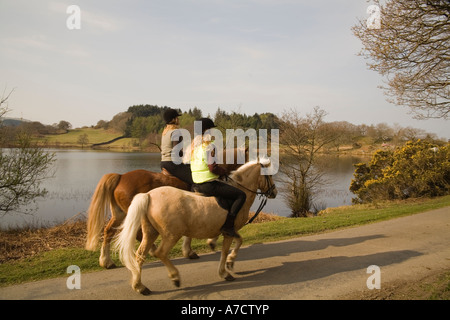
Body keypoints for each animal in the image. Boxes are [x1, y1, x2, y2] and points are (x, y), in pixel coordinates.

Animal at [86, 149, 248, 268]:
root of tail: (120, 176)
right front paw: (190, 251)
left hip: (120, 214)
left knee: (109, 231)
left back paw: (106, 261)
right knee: (136, 234)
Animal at [114, 160, 276, 296]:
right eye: (269, 175)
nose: (274, 192)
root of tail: (148, 195)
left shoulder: (229, 230)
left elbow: (239, 241)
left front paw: (229, 262)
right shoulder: (229, 232)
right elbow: (226, 250)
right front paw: (225, 271)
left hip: (150, 233)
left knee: (140, 255)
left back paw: (140, 287)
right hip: (171, 235)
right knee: (160, 253)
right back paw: (175, 277)